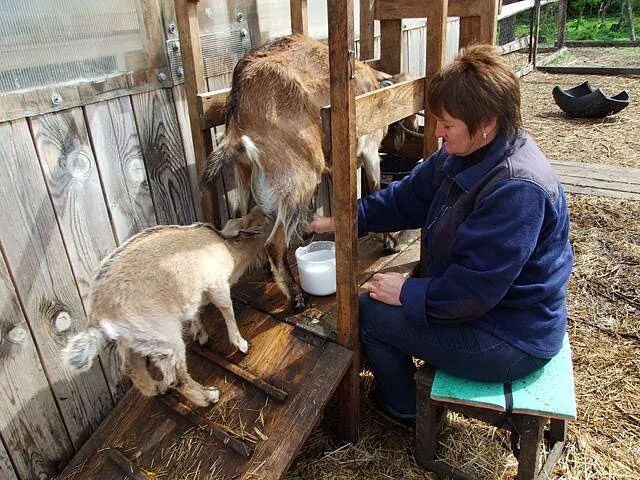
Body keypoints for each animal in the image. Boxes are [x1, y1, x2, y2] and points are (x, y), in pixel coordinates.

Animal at [202, 34, 418, 312]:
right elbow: (373, 186)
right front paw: (389, 241)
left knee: (246, 220)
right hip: (298, 178)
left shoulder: (335, 163)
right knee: (274, 243)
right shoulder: (369, 151)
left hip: (246, 176)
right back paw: (296, 297)